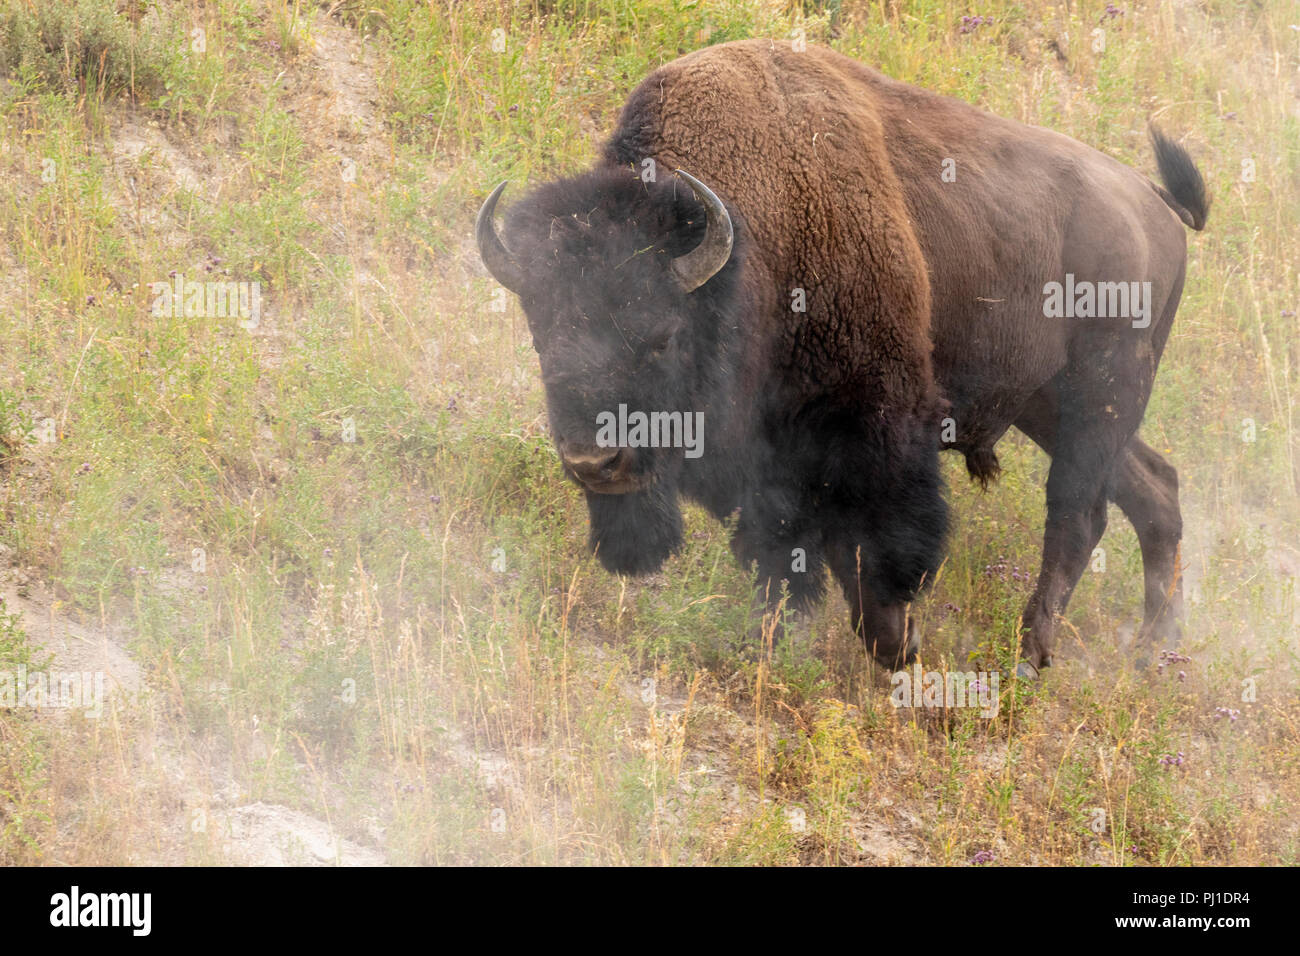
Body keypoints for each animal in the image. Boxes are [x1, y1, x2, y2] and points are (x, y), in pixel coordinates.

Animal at [475, 39, 1206, 681]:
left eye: (661, 336)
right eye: (542, 336)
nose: (594, 464)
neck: (753, 241)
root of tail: (1155, 205)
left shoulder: (876, 422)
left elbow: (875, 548)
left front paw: (899, 645)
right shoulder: (772, 463)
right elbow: (780, 554)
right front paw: (773, 646)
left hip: (1102, 391)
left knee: (1078, 514)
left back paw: (1034, 654)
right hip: (1048, 404)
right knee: (1155, 489)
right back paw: (1154, 650)